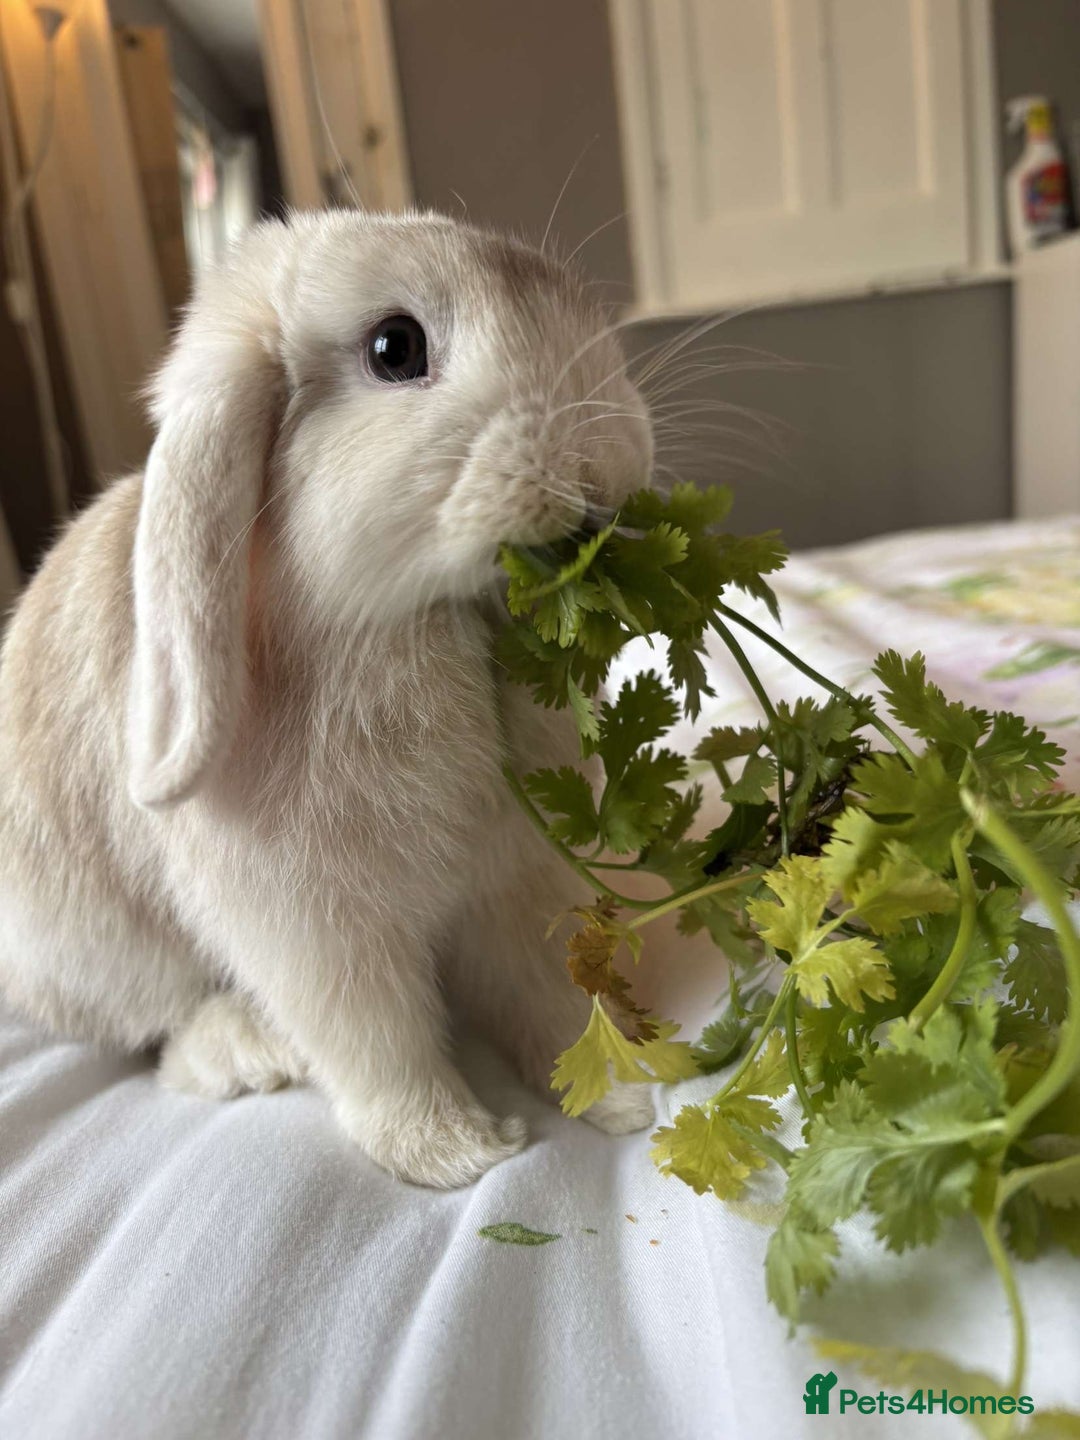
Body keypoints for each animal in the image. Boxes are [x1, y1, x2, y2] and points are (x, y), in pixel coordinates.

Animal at [0, 210, 657, 1188]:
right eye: (395, 348)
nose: (605, 469)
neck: (428, 621)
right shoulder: (315, 929)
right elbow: (379, 1042)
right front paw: (456, 1152)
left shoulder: (518, 884)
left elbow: (546, 997)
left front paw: (615, 1091)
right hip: (96, 959)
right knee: (161, 1038)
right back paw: (250, 1048)